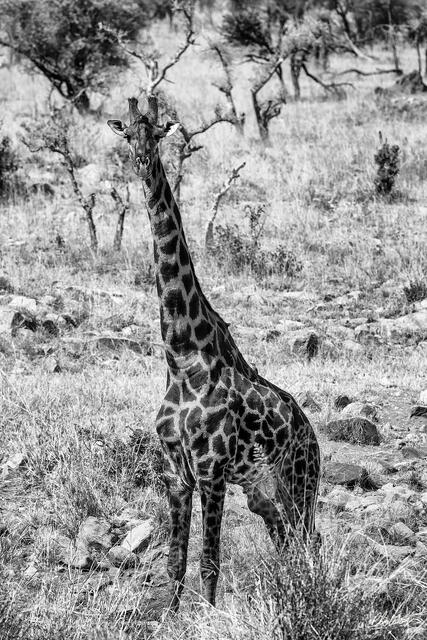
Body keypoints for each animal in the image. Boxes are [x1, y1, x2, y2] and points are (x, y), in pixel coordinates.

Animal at [107, 96, 320, 611]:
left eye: (157, 133)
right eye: (128, 135)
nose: (142, 163)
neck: (182, 358)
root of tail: (312, 434)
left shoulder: (211, 472)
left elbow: (209, 562)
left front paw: (206, 616)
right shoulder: (175, 473)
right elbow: (175, 561)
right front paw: (169, 616)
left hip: (299, 482)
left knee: (310, 539)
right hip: (262, 489)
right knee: (283, 535)